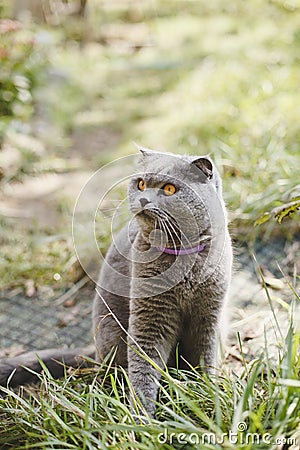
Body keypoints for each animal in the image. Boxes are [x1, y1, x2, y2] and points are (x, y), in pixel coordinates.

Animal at [0, 150, 232, 418]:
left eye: (169, 189)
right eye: (140, 183)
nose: (143, 199)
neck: (183, 260)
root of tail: (95, 350)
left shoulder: (209, 317)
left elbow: (204, 358)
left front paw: (209, 399)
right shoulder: (149, 317)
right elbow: (144, 367)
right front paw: (142, 419)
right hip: (112, 334)